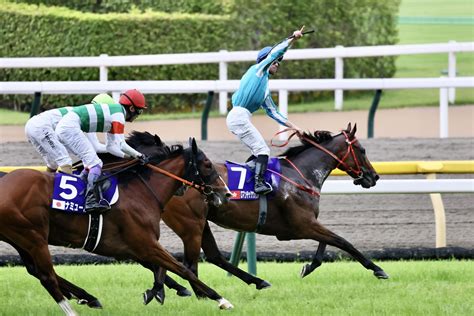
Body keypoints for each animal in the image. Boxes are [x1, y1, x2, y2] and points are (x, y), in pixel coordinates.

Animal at [0, 135, 233, 314]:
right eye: (207, 165)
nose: (226, 193)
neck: (140, 192)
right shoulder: (145, 244)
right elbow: (182, 269)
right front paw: (221, 300)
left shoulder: (130, 247)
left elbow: (161, 268)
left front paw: (156, 291)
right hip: (33, 237)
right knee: (46, 276)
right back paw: (73, 309)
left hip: (22, 239)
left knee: (36, 271)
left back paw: (87, 297)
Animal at [144, 123, 388, 302]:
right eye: (362, 150)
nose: (373, 176)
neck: (302, 175)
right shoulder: (301, 225)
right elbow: (343, 242)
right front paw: (378, 269)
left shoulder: (307, 224)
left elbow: (326, 244)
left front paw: (308, 267)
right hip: (191, 223)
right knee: (189, 264)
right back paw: (198, 294)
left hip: (200, 222)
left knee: (209, 257)